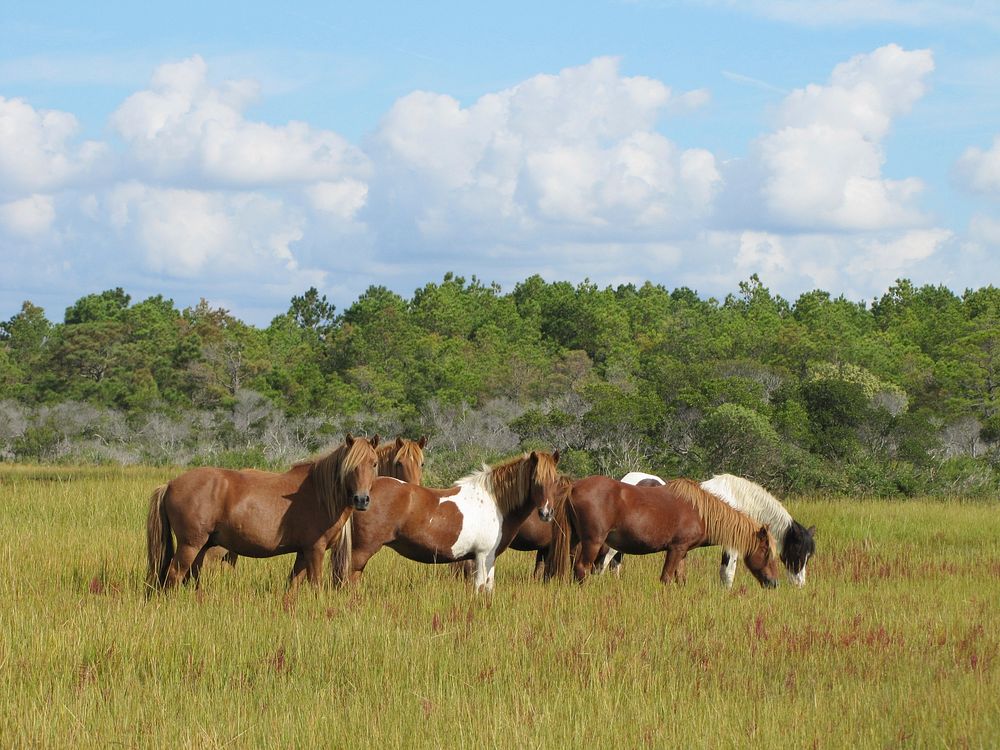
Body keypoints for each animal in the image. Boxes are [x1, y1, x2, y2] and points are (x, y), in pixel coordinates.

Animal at [146, 434, 380, 592]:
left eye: (374, 463)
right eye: (350, 466)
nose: (361, 499)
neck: (318, 491)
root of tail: (169, 484)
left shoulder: (302, 552)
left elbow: (293, 584)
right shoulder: (315, 550)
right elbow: (315, 585)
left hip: (202, 547)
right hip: (190, 545)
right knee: (174, 576)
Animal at [330, 452, 560, 592]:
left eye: (555, 480)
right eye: (535, 480)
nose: (546, 513)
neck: (494, 502)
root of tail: (361, 494)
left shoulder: (489, 558)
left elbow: (488, 588)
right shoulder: (482, 556)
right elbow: (480, 589)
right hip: (360, 552)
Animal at [548, 478, 780, 592]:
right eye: (767, 552)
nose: (774, 583)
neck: (699, 511)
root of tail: (573, 487)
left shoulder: (683, 552)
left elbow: (681, 579)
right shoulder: (675, 549)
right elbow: (666, 578)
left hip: (574, 540)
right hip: (593, 542)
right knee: (582, 568)